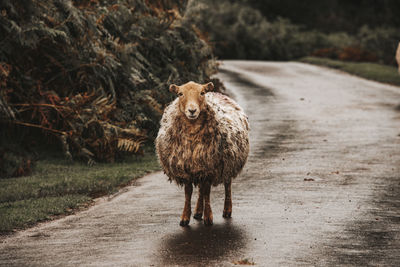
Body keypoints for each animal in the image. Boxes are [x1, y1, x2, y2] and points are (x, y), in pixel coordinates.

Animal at [155, 81, 248, 226]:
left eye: (202, 93)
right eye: (180, 94)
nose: (192, 111)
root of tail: (217, 93)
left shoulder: (210, 169)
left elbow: (207, 193)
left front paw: (208, 218)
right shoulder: (187, 169)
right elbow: (189, 193)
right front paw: (185, 218)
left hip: (228, 162)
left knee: (227, 186)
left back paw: (227, 210)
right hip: (199, 166)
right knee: (200, 190)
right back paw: (198, 212)